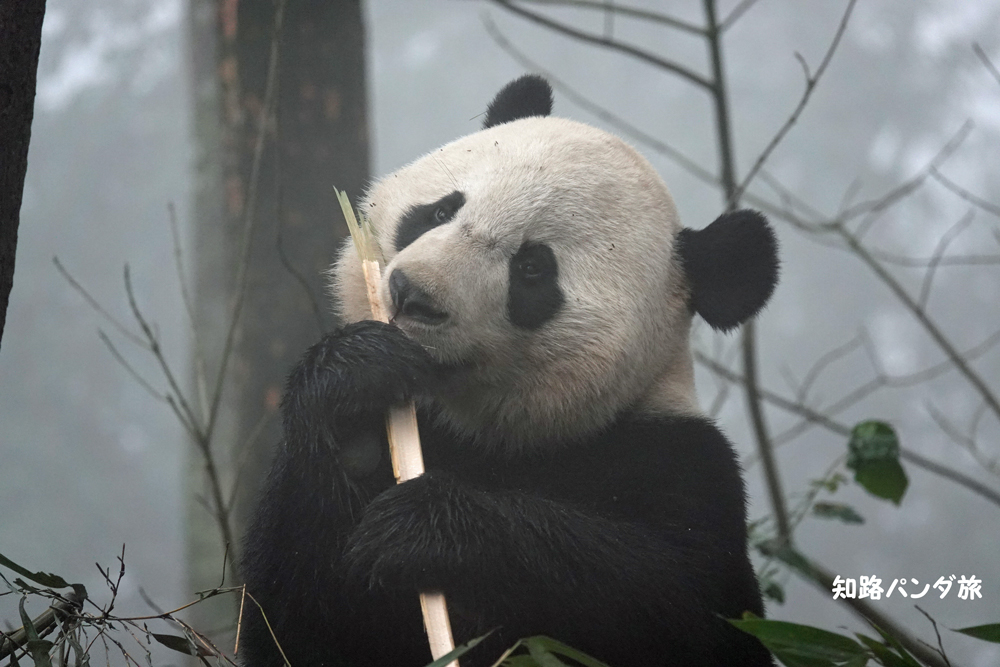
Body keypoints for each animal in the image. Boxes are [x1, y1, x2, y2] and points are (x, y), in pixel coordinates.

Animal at [240, 75, 778, 667]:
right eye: (440, 212)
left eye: (533, 268)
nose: (412, 294)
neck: (488, 431)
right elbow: (296, 624)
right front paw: (354, 390)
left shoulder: (686, 467)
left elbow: (693, 608)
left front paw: (428, 527)